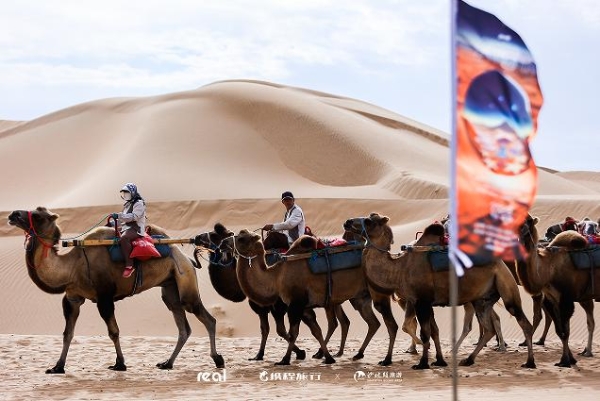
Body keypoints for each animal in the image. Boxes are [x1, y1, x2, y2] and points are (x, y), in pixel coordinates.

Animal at [8, 206, 224, 372]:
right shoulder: (72, 298)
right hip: (170, 287)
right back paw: (167, 363)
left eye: (38, 216)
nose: (12, 215)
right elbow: (67, 333)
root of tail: (186, 258)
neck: (74, 266)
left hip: (185, 279)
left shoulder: (104, 297)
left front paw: (120, 364)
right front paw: (57, 367)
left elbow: (114, 331)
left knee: (207, 318)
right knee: (182, 325)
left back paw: (218, 359)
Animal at [219, 230, 384, 364]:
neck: (276, 276)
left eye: (241, 239)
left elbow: (291, 332)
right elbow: (315, 330)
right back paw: (356, 354)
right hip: (358, 297)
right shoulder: (302, 306)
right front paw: (326, 357)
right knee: (369, 322)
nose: (222, 243)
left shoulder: (294, 304)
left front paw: (286, 359)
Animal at [344, 212, 536, 368]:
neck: (399, 268)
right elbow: (433, 330)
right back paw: (468, 360)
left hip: (506, 286)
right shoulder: (424, 302)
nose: (347, 222)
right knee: (488, 328)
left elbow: (425, 333)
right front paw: (439, 361)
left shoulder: (421, 301)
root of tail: (502, 264)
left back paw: (529, 362)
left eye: (369, 221)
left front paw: (422, 363)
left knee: (523, 322)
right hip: (481, 299)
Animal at [516, 216, 596, 366]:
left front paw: (565, 361)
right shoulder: (551, 299)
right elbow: (560, 330)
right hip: (586, 297)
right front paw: (570, 359)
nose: (521, 230)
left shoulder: (566, 299)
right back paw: (586, 351)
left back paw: (587, 352)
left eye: (529, 220)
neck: (549, 269)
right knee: (591, 322)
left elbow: (565, 331)